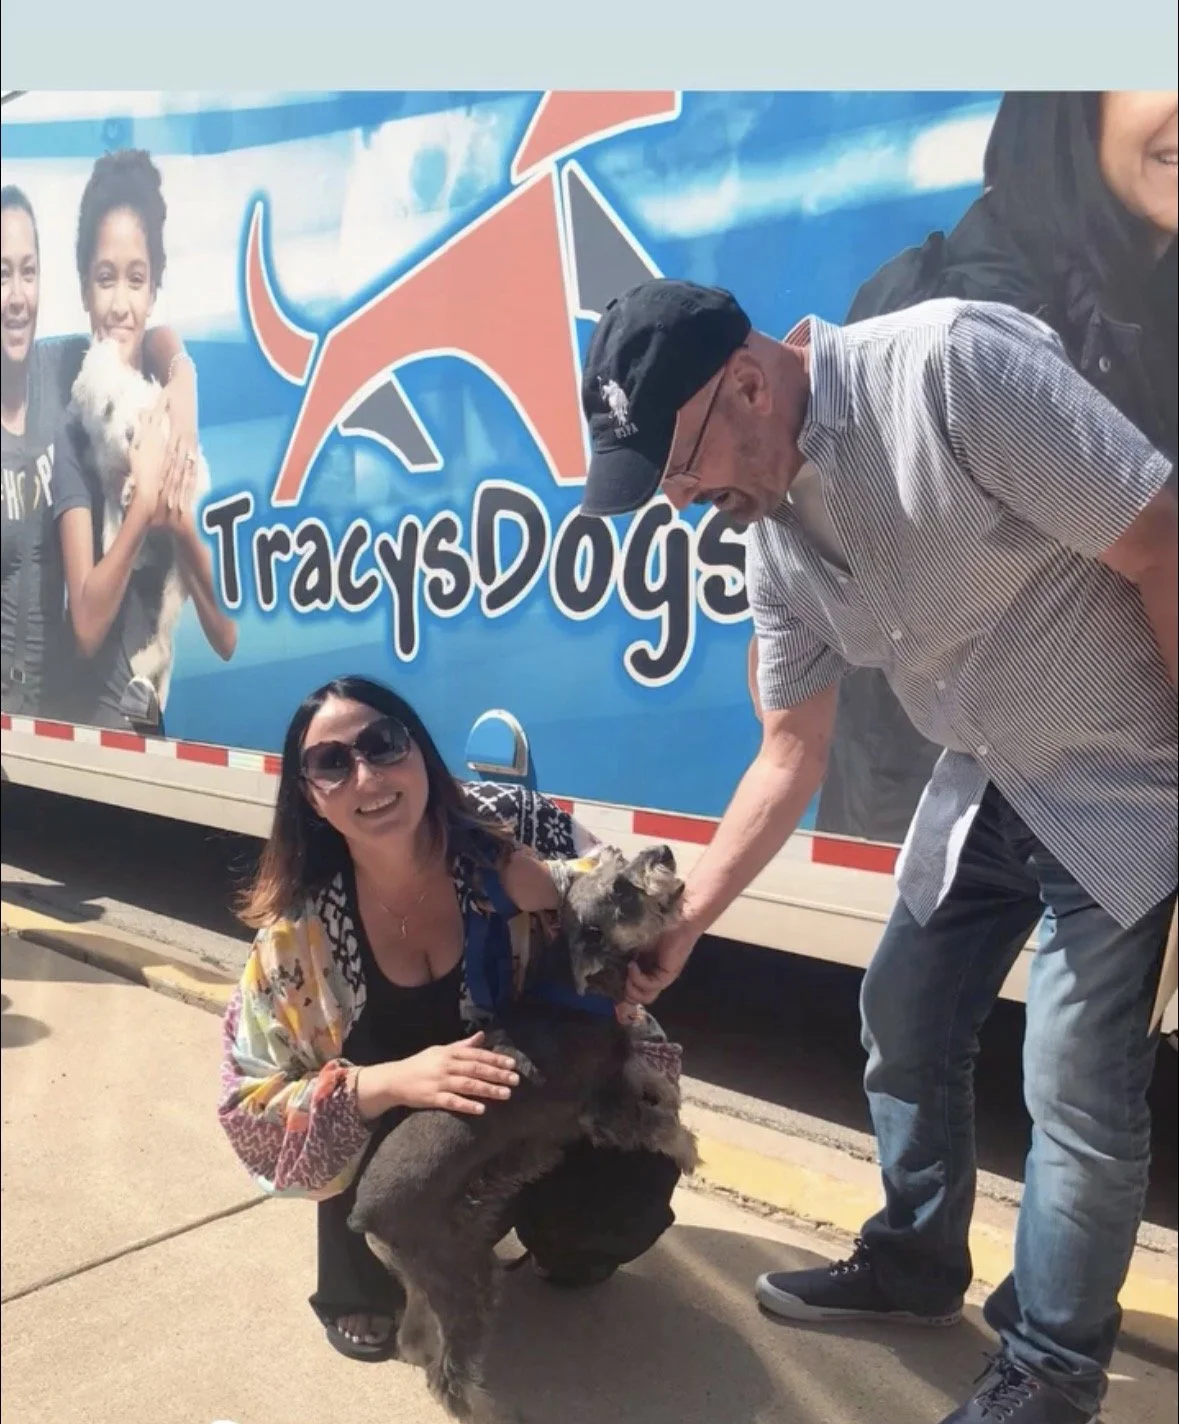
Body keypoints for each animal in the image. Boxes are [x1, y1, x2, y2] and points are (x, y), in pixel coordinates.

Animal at [69, 338, 210, 727]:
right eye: (107, 408)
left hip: (176, 584)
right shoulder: (107, 471)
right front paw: (115, 531)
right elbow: (112, 510)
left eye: (143, 414)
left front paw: (135, 485)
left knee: (164, 642)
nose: (131, 435)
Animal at [348, 843, 698, 1423]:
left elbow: (644, 1071)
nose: (663, 850)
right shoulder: (602, 1112)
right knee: (449, 1372)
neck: (570, 992)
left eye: (619, 860)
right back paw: (484, 1409)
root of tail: (362, 1215)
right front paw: (686, 1148)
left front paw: (664, 1092)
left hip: (434, 1274)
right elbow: (652, 1125)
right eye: (621, 888)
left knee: (418, 1336)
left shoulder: (616, 1066)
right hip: (466, 1279)